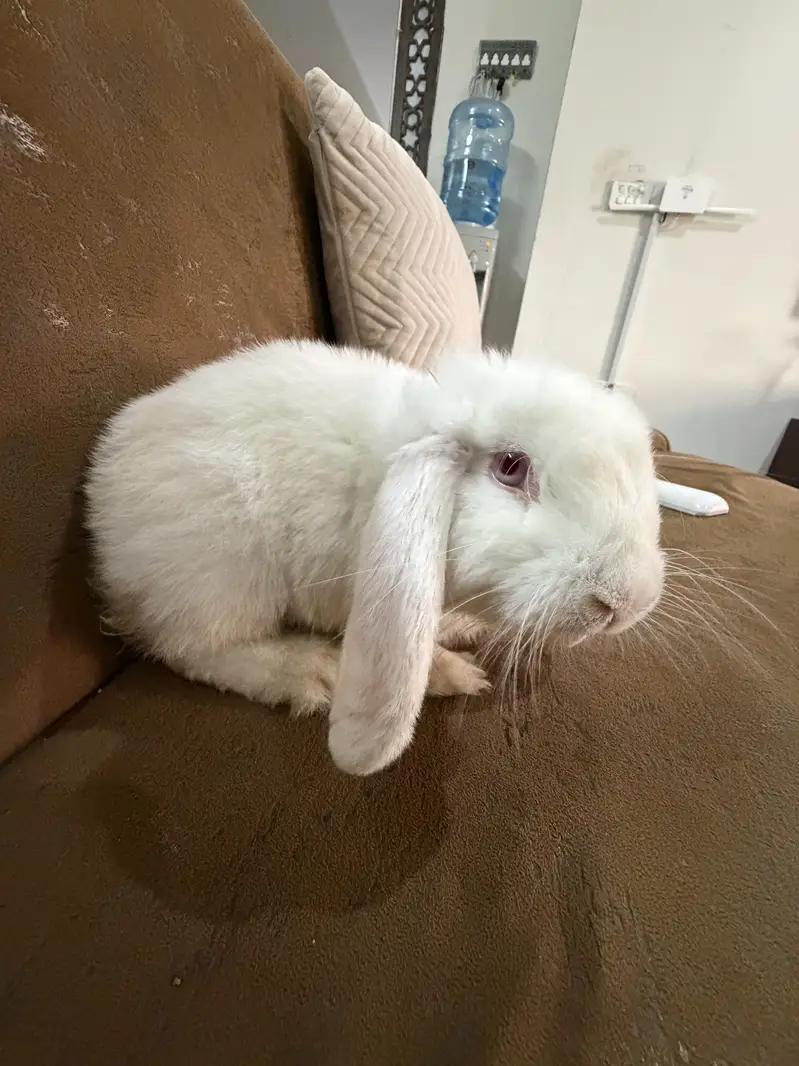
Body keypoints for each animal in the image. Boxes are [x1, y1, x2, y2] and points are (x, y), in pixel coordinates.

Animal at [85, 339, 664, 776]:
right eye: (510, 466)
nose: (626, 603)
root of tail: (101, 503)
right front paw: (457, 676)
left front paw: (458, 631)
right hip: (221, 569)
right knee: (193, 649)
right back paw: (308, 672)